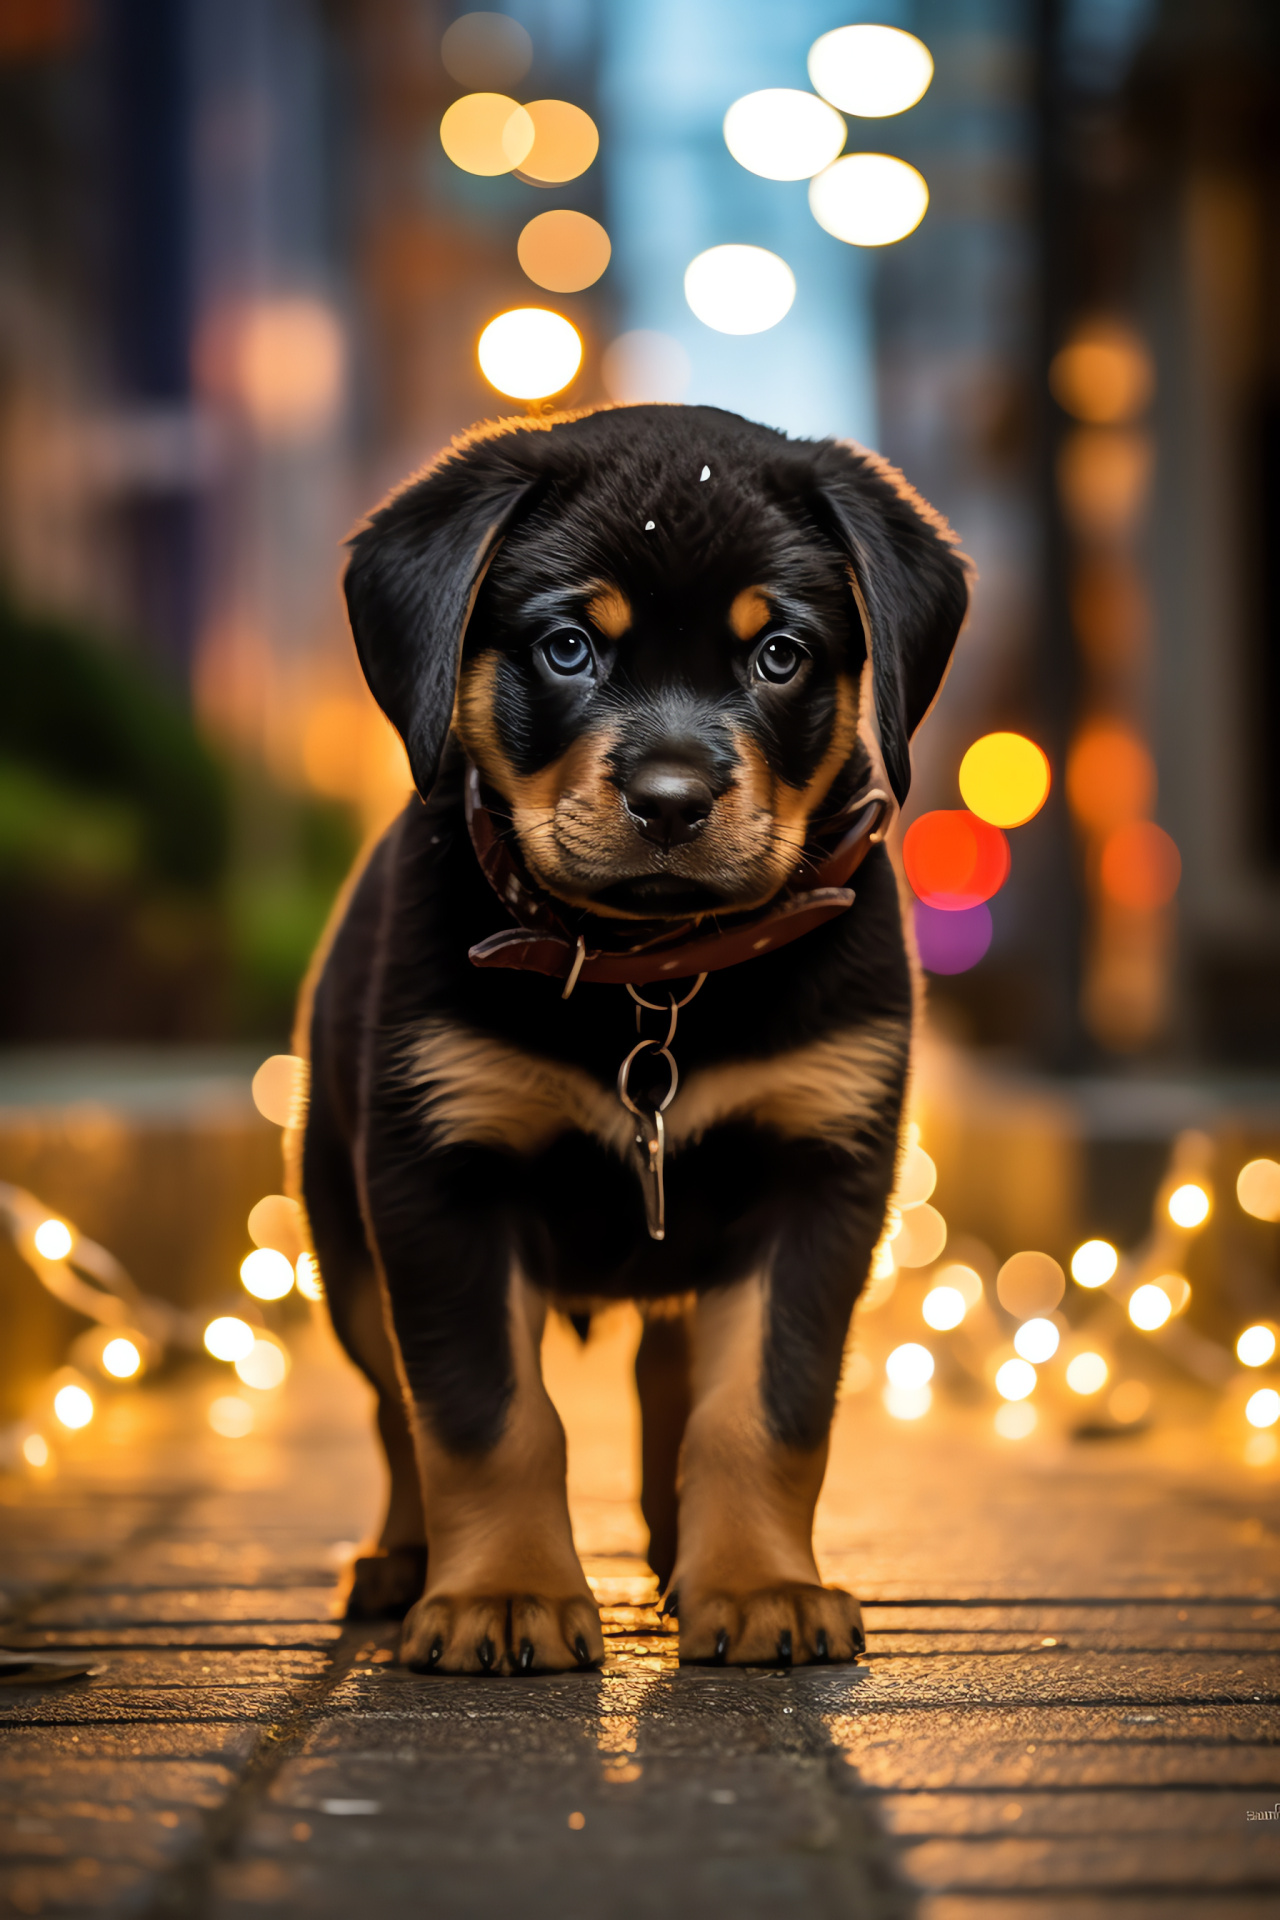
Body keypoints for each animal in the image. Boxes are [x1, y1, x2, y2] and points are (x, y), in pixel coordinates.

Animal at [295, 401, 967, 1666]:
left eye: (777, 654)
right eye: (567, 648)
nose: (668, 799)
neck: (650, 981)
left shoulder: (819, 1173)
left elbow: (761, 1409)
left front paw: (758, 1585)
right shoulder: (436, 1174)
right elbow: (481, 1412)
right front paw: (501, 1594)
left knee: (669, 1376)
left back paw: (676, 1553)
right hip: (342, 1233)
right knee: (391, 1405)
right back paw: (406, 1562)